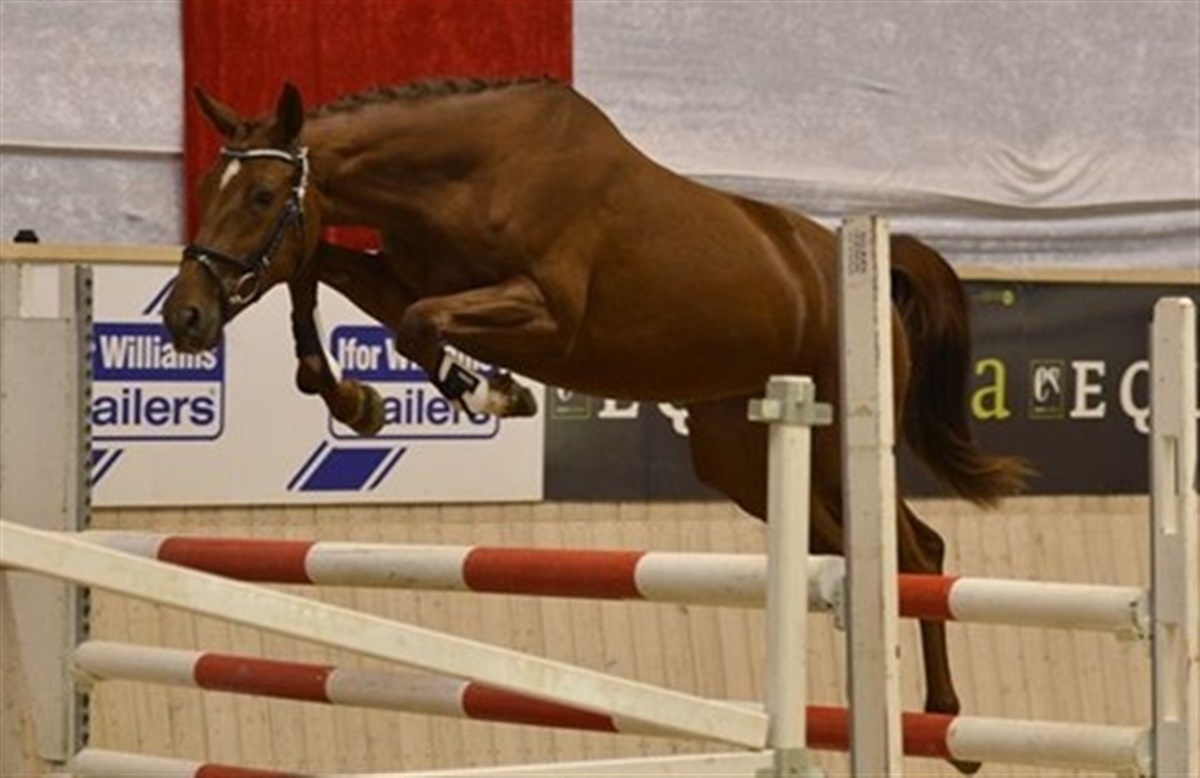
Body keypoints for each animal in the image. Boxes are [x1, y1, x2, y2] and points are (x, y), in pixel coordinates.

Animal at [163, 78, 1030, 773]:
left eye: (262, 197)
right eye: (207, 183)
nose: (184, 317)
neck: (467, 176)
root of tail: (864, 267)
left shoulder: (547, 317)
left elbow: (415, 325)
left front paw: (490, 395)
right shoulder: (402, 276)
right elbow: (321, 274)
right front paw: (353, 399)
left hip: (824, 442)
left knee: (916, 550)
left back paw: (946, 722)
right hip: (738, 458)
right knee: (850, 552)